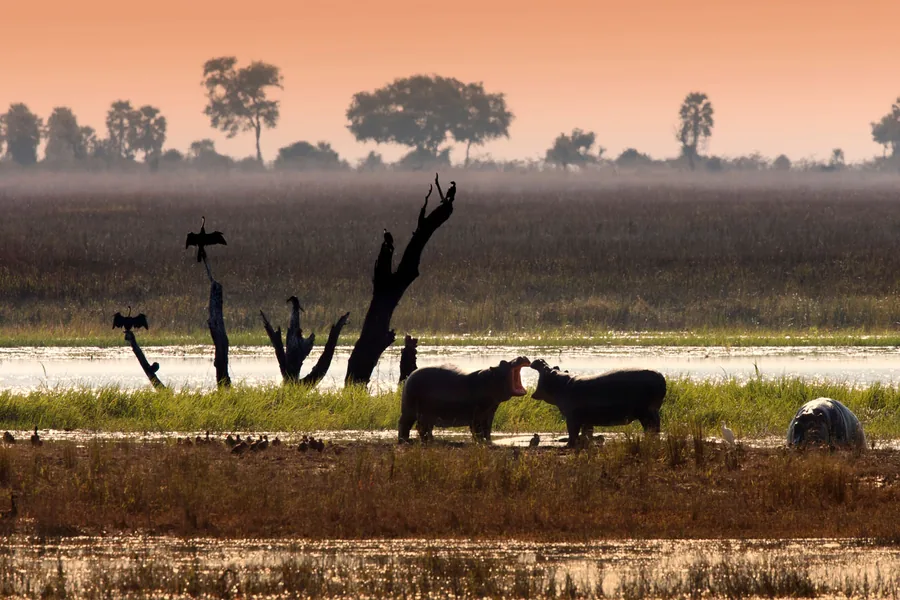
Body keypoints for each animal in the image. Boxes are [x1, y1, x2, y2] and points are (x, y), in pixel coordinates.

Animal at [398, 356, 531, 443]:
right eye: (503, 362)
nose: (521, 356)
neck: (491, 379)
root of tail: (410, 376)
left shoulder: (490, 412)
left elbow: (487, 429)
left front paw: (489, 442)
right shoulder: (477, 414)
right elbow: (477, 430)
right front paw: (480, 442)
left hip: (427, 414)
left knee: (424, 428)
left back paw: (429, 441)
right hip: (409, 410)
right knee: (405, 424)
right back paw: (404, 441)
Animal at [530, 359, 667, 447]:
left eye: (547, 368)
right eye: (555, 367)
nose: (540, 360)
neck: (561, 383)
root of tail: (661, 377)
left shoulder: (571, 417)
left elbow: (572, 432)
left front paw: (568, 445)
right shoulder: (586, 419)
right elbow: (586, 432)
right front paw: (584, 443)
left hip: (647, 413)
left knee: (652, 428)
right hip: (650, 412)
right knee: (654, 428)